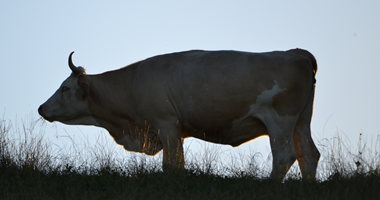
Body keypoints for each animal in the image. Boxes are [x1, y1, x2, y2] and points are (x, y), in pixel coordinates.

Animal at [37, 49, 320, 180]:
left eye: (65, 88)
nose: (41, 108)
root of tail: (296, 53)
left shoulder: (167, 125)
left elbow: (172, 164)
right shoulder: (176, 131)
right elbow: (177, 163)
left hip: (280, 121)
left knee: (284, 156)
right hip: (301, 122)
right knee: (309, 154)